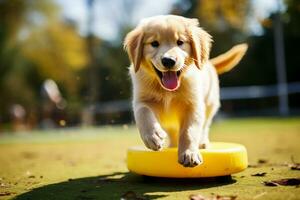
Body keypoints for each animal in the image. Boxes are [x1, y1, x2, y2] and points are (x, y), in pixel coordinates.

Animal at [123, 14, 247, 166]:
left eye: (180, 42)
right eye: (154, 43)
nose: (168, 60)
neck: (168, 90)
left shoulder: (193, 105)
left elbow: (189, 131)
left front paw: (189, 153)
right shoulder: (142, 99)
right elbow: (143, 113)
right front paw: (153, 136)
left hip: (210, 105)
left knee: (205, 126)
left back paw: (202, 142)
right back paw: (172, 144)